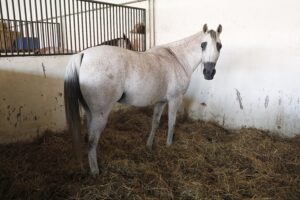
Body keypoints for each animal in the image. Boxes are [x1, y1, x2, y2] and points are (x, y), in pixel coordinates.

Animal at [63, 24, 223, 176]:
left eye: (219, 45)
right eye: (203, 45)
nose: (209, 73)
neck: (177, 59)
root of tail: (82, 54)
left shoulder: (161, 102)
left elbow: (155, 123)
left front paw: (149, 145)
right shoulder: (174, 99)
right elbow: (171, 123)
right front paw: (169, 145)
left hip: (90, 112)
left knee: (89, 136)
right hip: (100, 115)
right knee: (92, 140)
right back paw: (95, 172)